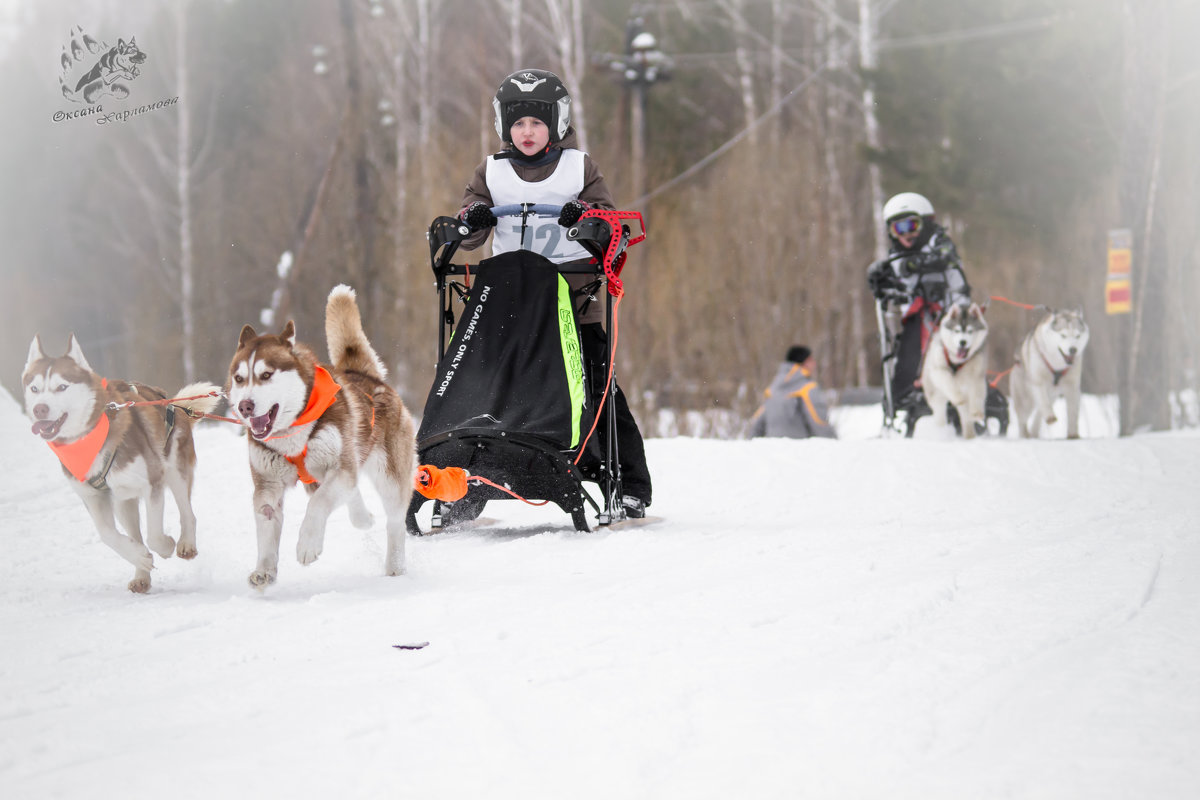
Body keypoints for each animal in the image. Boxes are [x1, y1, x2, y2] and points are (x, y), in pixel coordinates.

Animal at [22, 335, 220, 592]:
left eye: (62, 387)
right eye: (34, 388)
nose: (40, 408)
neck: (88, 441)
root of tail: (171, 402)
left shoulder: (153, 481)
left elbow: (154, 535)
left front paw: (166, 545)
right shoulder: (92, 497)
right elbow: (107, 534)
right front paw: (139, 557)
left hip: (174, 468)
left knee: (187, 511)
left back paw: (186, 543)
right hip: (123, 501)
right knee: (134, 532)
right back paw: (141, 574)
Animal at [225, 284, 417, 585]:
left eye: (266, 374)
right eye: (240, 378)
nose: (245, 406)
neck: (292, 434)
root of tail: (366, 376)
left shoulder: (338, 467)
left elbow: (318, 504)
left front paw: (307, 545)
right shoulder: (268, 485)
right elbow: (267, 523)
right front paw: (264, 570)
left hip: (389, 476)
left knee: (395, 520)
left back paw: (395, 565)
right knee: (352, 495)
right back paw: (362, 517)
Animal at [921, 299, 988, 438]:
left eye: (970, 331)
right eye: (957, 331)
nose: (963, 342)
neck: (957, 361)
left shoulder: (977, 375)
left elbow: (977, 393)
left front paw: (977, 412)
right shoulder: (939, 370)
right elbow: (948, 381)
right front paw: (958, 397)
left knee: (965, 417)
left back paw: (970, 435)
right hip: (935, 396)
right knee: (940, 413)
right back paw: (941, 432)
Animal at [1008, 309, 1094, 438]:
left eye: (1077, 336)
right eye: (1063, 335)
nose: (1073, 349)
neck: (1057, 366)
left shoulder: (1072, 387)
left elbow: (1073, 412)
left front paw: (1073, 434)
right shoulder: (1038, 383)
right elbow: (1043, 402)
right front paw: (1050, 416)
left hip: (1052, 396)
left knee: (1038, 414)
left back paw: (1034, 432)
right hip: (1025, 401)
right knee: (1023, 419)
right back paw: (1025, 434)